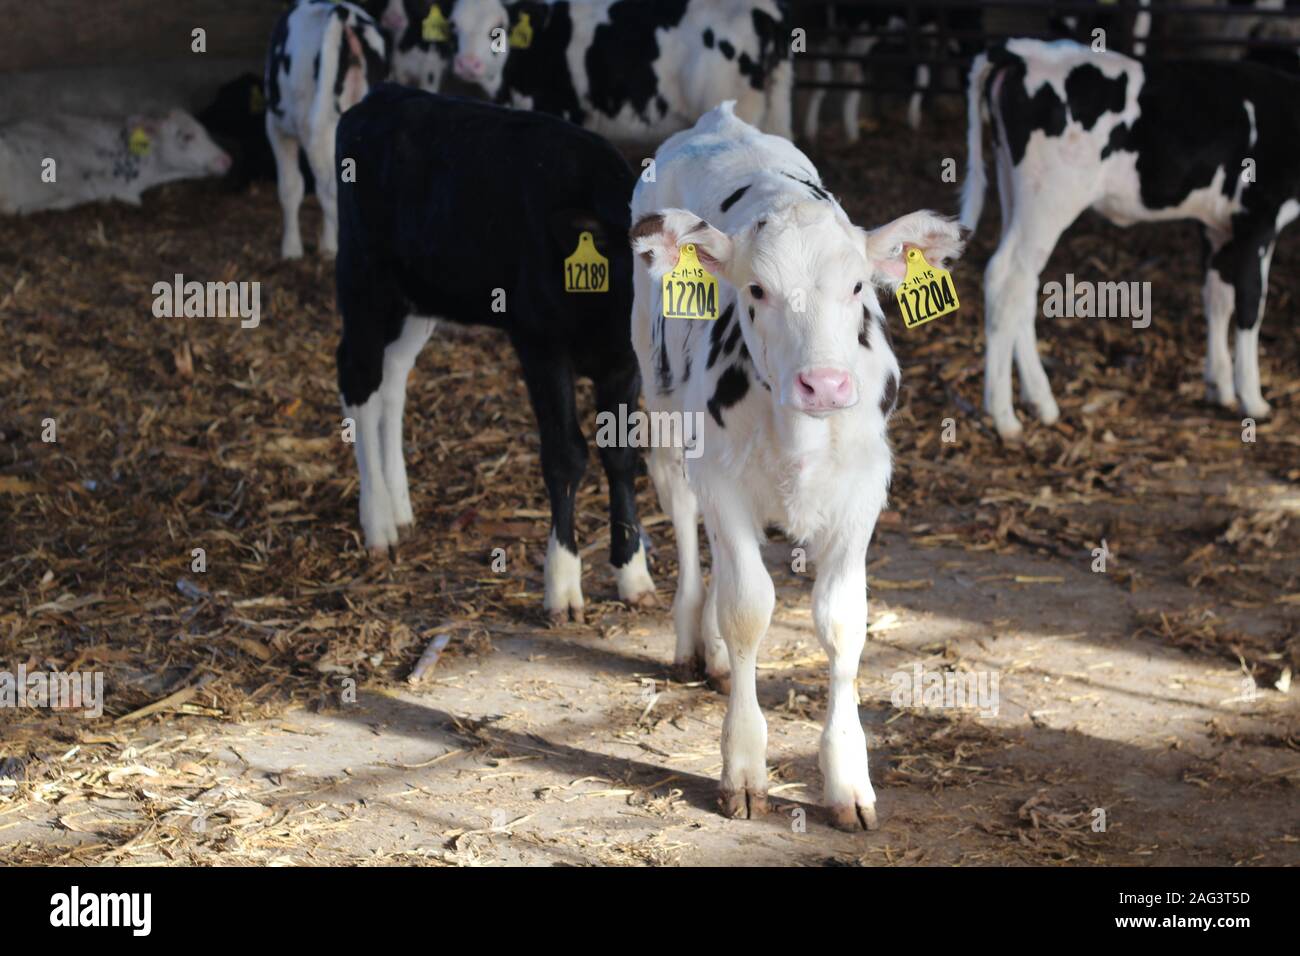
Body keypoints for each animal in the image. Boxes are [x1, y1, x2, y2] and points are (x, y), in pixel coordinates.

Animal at [338, 85, 655, 624]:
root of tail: (383, 95)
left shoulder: (623, 364)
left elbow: (620, 454)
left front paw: (633, 574)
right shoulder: (540, 343)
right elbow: (566, 455)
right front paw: (562, 584)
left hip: (421, 296)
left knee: (392, 379)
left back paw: (399, 506)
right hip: (364, 280)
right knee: (358, 377)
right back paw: (377, 520)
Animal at [629, 98, 967, 832]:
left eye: (858, 286)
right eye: (756, 290)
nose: (826, 385)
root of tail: (721, 120)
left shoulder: (863, 490)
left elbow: (841, 623)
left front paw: (847, 779)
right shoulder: (722, 479)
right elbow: (747, 609)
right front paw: (743, 767)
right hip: (662, 404)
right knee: (685, 517)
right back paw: (693, 637)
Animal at [967, 38, 1300, 442]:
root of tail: (1021, 50)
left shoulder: (1217, 225)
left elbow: (1217, 300)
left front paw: (1218, 387)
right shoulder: (1258, 219)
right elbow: (1251, 305)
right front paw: (1253, 398)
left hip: (1014, 192)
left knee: (1024, 288)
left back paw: (1041, 402)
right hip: (1049, 200)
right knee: (1006, 279)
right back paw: (1004, 416)